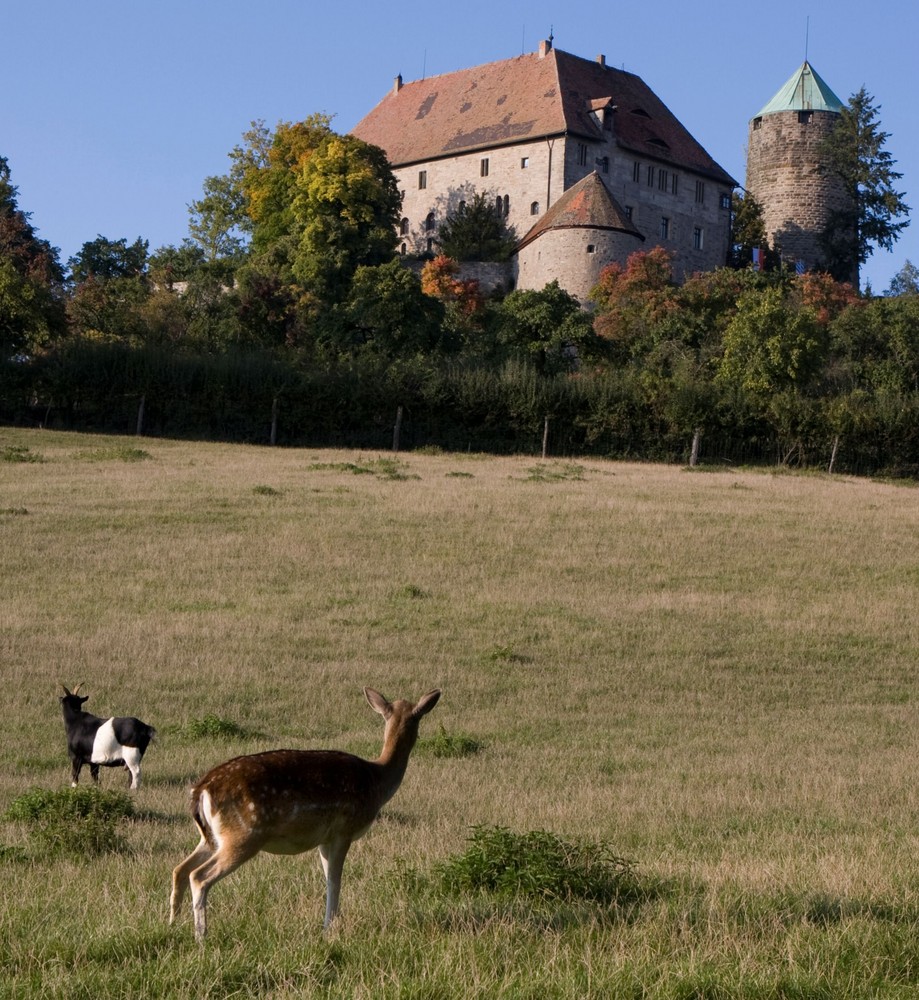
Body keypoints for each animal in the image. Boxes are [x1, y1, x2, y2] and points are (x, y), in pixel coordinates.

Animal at [174, 684, 444, 940]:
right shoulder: (343, 831)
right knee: (199, 876)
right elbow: (335, 879)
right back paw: (201, 936)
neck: (377, 780)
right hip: (243, 835)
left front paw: (327, 925)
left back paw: (172, 923)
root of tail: (201, 790)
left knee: (180, 869)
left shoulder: (324, 838)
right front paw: (329, 928)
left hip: (212, 837)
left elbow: (327, 878)